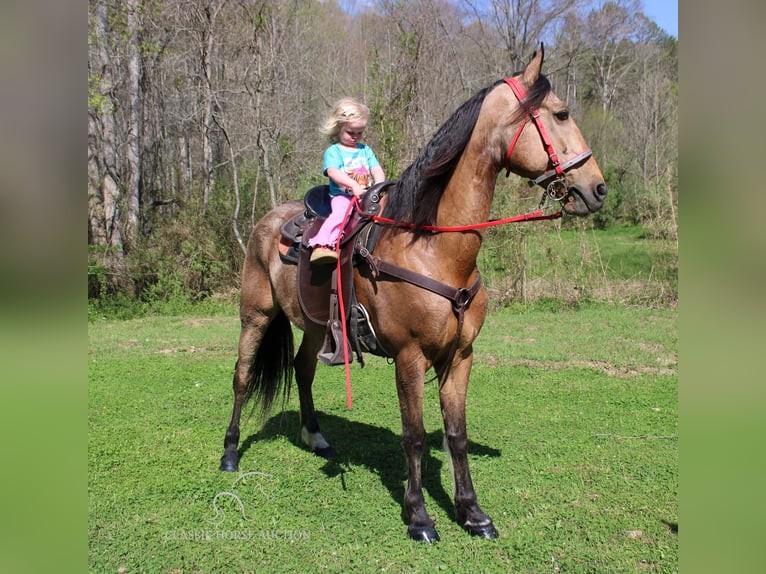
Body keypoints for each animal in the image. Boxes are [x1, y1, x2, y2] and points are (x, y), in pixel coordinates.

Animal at [219, 46, 608, 544]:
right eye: (561, 113)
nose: (597, 188)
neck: (434, 247)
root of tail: (267, 221)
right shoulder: (409, 357)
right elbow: (415, 435)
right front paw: (419, 516)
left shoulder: (459, 357)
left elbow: (456, 434)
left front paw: (472, 513)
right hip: (255, 315)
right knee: (242, 377)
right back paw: (230, 453)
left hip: (315, 327)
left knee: (303, 370)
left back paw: (315, 436)